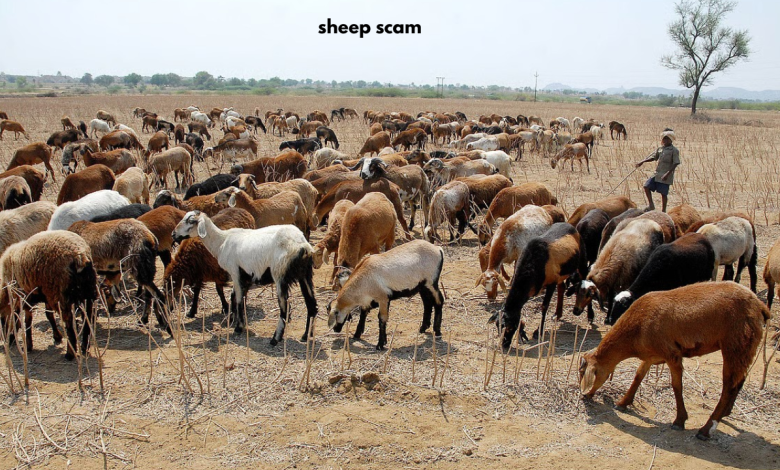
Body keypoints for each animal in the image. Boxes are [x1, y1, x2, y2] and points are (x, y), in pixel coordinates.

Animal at [0, 231, 98, 360]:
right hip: (86, 293)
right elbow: (48, 315)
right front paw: (57, 336)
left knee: (71, 324)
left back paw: (70, 354)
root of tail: (80, 255)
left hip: (60, 295)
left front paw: (28, 346)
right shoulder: (45, 296)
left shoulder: (22, 297)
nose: (5, 340)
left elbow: (25, 320)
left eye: (0, 319)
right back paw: (84, 347)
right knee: (87, 320)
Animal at [172, 211, 318, 341]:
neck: (221, 241)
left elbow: (238, 300)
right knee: (312, 306)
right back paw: (306, 336)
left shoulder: (235, 272)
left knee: (285, 309)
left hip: (279, 275)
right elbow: (235, 297)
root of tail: (303, 245)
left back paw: (275, 339)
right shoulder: (246, 277)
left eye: (191, 221)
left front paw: (239, 327)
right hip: (305, 275)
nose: (173, 234)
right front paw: (233, 320)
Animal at [579, 281, 769, 440]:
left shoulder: (672, 354)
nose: (584, 395)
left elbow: (677, 386)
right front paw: (623, 403)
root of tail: (760, 306)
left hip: (735, 344)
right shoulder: (652, 355)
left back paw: (706, 429)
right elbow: (638, 376)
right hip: (745, 349)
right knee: (739, 381)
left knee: (729, 387)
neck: (635, 330)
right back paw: (725, 413)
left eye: (586, 373)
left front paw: (679, 421)